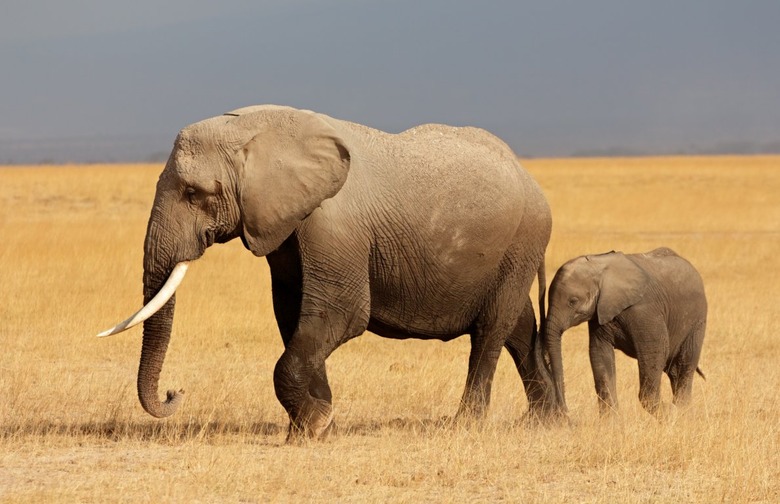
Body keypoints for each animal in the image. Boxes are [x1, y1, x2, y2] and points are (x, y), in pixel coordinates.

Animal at [99, 104, 553, 439]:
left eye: (195, 194)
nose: (175, 392)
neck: (258, 130)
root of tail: (530, 178)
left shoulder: (332, 223)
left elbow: (342, 314)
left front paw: (313, 426)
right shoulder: (283, 225)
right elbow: (293, 316)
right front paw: (316, 422)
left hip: (523, 240)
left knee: (491, 330)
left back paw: (467, 424)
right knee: (518, 327)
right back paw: (548, 420)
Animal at [540, 247, 707, 417]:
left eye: (572, 301)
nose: (565, 411)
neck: (600, 266)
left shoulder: (644, 310)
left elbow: (655, 351)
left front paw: (668, 412)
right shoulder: (600, 313)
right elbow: (599, 355)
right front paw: (610, 420)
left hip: (697, 321)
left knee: (684, 365)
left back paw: (682, 411)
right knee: (673, 370)